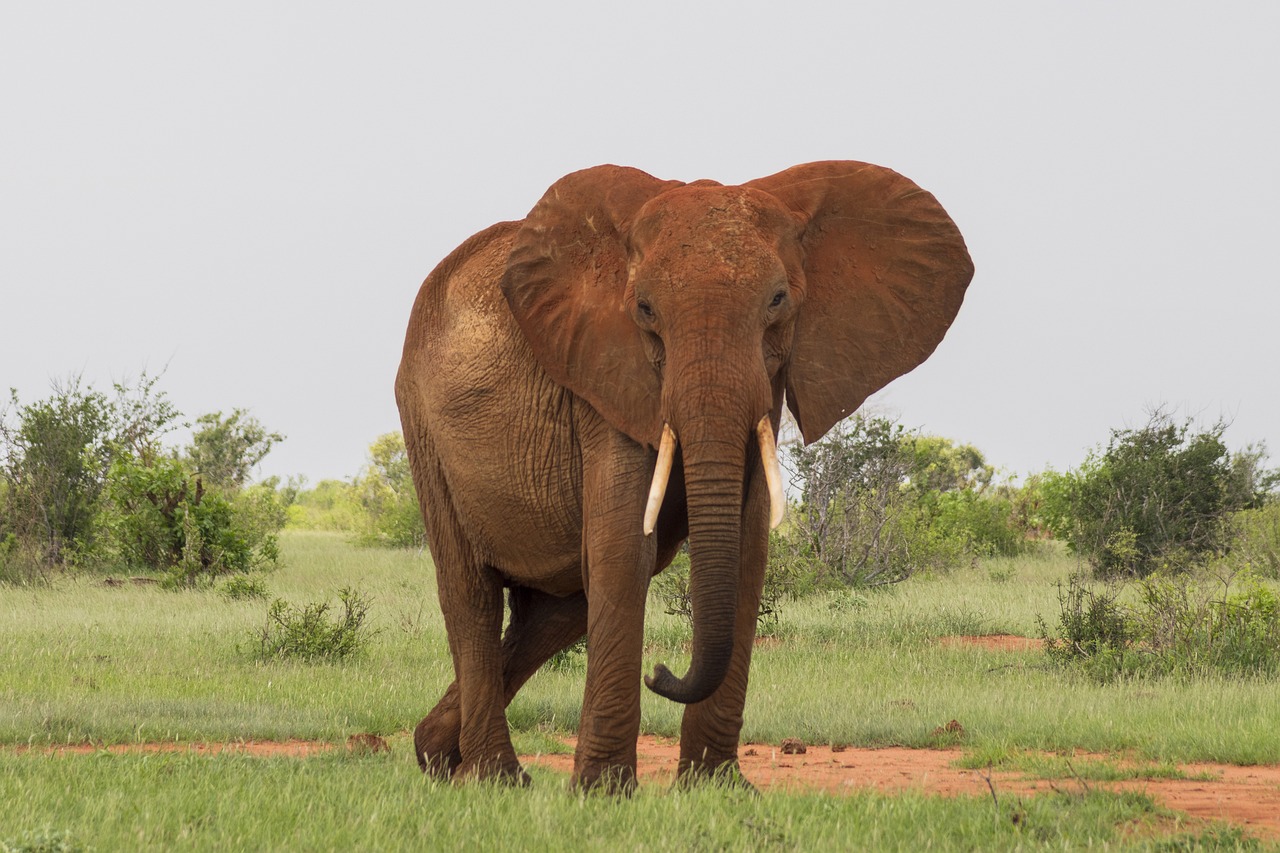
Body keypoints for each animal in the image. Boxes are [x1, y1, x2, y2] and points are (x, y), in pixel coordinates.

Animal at [394, 161, 972, 788]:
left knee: (555, 613)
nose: (661, 672)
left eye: (778, 300)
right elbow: (625, 548)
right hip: (423, 424)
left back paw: (437, 755)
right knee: (472, 594)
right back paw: (494, 779)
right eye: (645, 310)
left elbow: (745, 549)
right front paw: (602, 792)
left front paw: (717, 789)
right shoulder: (604, 376)